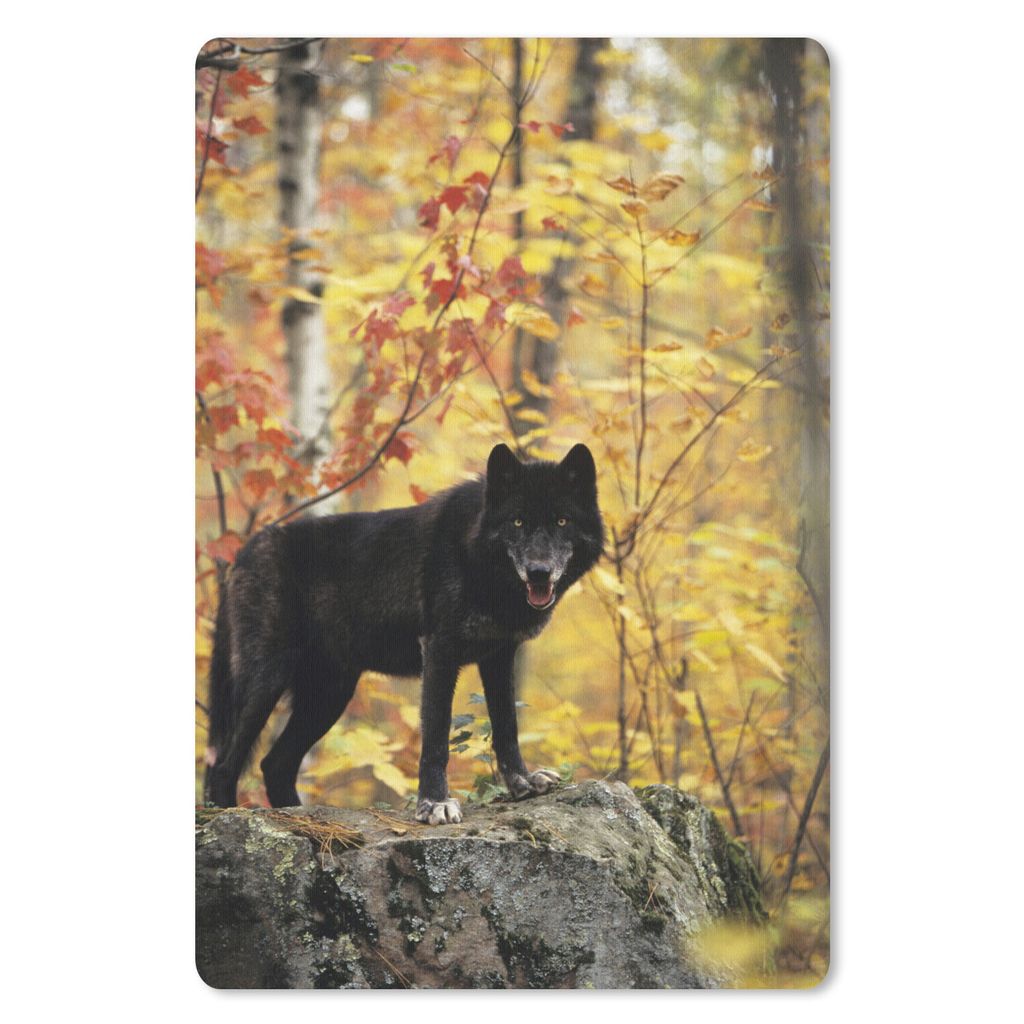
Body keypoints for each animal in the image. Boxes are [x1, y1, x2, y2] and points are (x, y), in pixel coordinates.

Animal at [203, 442, 603, 824]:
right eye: (518, 521)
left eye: (562, 520)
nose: (538, 572)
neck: (478, 560)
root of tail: (243, 552)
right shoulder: (439, 651)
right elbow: (437, 738)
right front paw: (435, 804)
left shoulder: (499, 657)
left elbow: (507, 726)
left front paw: (523, 783)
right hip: (267, 682)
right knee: (222, 765)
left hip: (330, 694)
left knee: (274, 764)